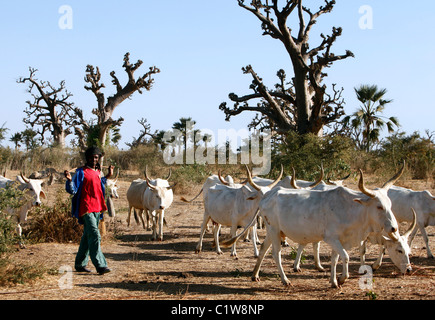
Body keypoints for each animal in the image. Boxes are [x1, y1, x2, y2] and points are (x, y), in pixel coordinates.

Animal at [221, 165, 406, 288]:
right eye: (379, 206)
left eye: (390, 204)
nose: (394, 229)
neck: (352, 209)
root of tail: (267, 196)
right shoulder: (332, 238)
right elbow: (345, 257)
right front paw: (342, 279)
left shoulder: (340, 241)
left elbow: (335, 259)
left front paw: (333, 281)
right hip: (273, 230)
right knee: (275, 253)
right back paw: (285, 279)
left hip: (274, 230)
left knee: (264, 249)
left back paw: (255, 275)